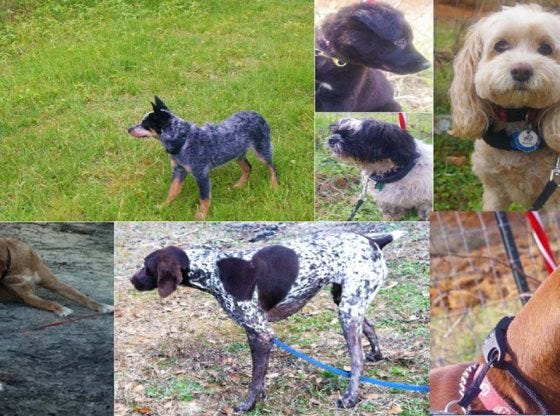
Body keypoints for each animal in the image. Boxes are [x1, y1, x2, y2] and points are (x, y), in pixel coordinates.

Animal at [126, 96, 276, 221]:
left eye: (144, 124)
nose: (128, 129)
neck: (182, 139)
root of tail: (257, 114)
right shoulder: (179, 170)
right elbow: (172, 191)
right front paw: (163, 206)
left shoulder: (201, 174)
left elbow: (204, 198)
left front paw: (201, 215)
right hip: (237, 154)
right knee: (248, 167)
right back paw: (240, 184)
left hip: (262, 150)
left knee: (272, 167)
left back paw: (274, 186)